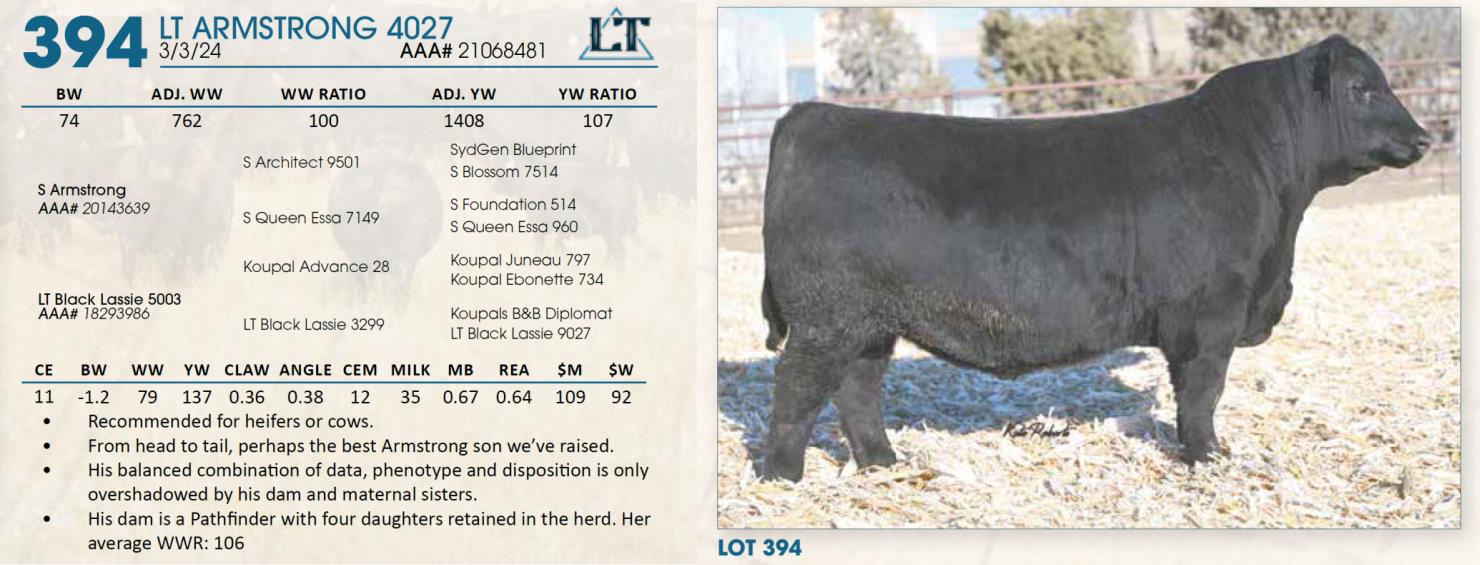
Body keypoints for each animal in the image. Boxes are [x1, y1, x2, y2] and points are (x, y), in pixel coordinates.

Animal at [758, 35, 1431, 481]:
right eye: (1361, 89)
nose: (1423, 138)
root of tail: (809, 115)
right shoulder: (1211, 316)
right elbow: (1202, 394)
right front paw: (1208, 458)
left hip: (869, 322)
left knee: (857, 390)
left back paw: (881, 463)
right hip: (826, 320)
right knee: (797, 390)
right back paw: (782, 477)